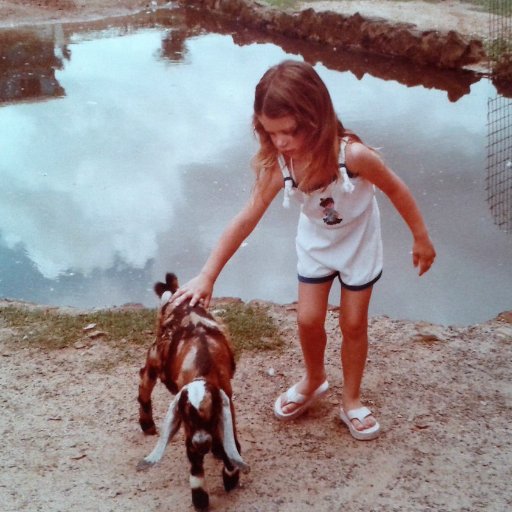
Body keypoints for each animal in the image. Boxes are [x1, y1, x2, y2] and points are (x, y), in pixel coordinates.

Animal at [136, 274, 248, 510]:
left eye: (213, 416)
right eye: (186, 418)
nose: (202, 443)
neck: (203, 368)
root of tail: (174, 291)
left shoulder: (227, 400)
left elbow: (230, 444)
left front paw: (230, 476)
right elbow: (194, 462)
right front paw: (201, 500)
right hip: (155, 356)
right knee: (145, 381)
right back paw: (147, 424)